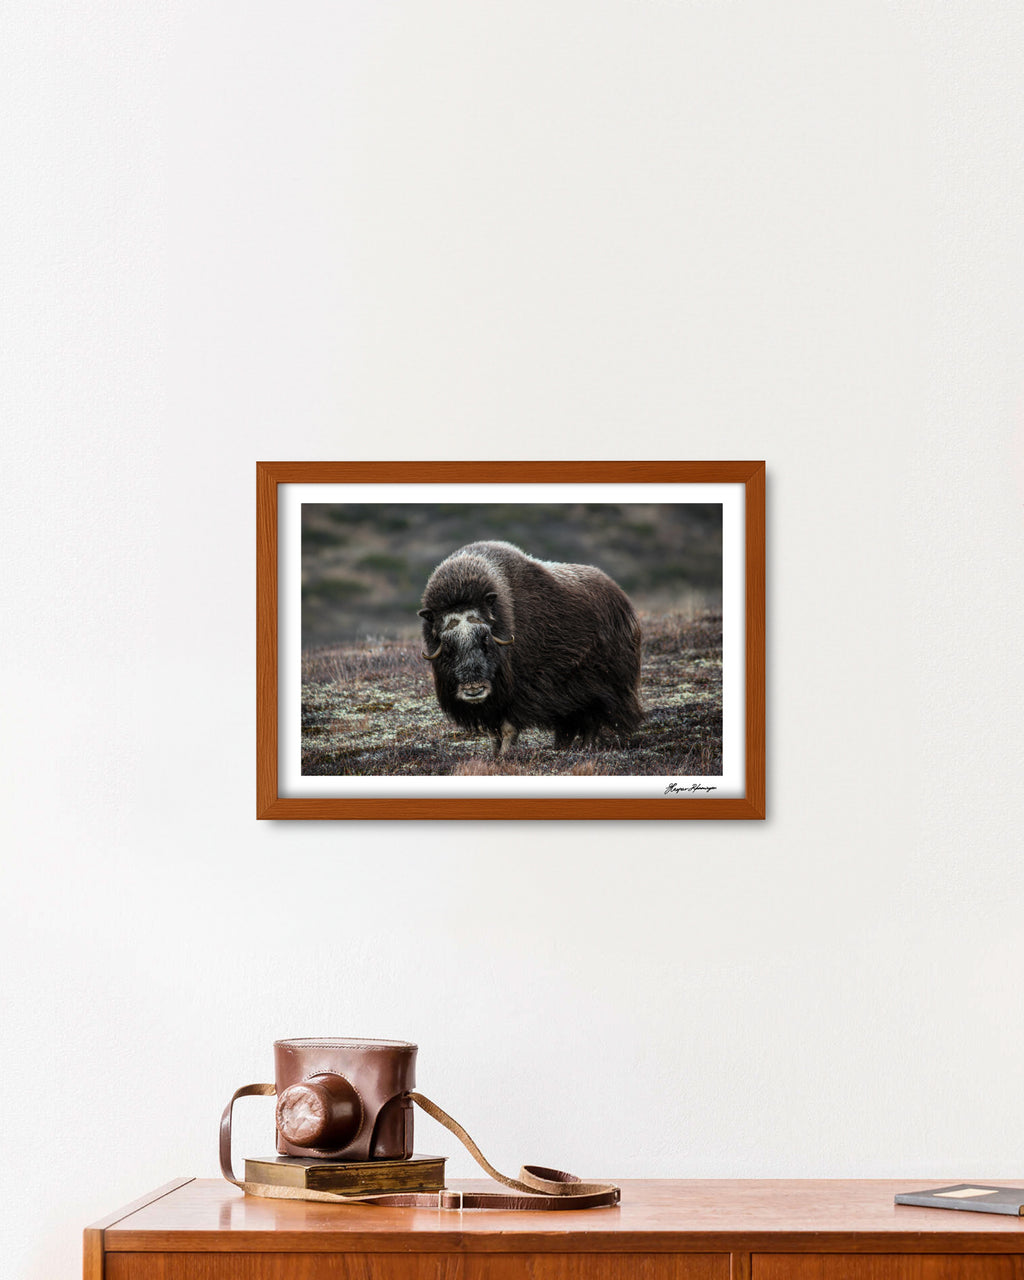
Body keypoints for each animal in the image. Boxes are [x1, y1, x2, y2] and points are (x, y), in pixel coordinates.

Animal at [418, 541, 642, 756]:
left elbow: (508, 728)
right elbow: (493, 733)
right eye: (448, 646)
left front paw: (505, 755)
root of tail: (621, 597)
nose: (474, 690)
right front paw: (494, 755)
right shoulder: (493, 703)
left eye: (485, 638)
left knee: (592, 720)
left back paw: (586, 748)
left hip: (602, 687)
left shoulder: (519, 692)